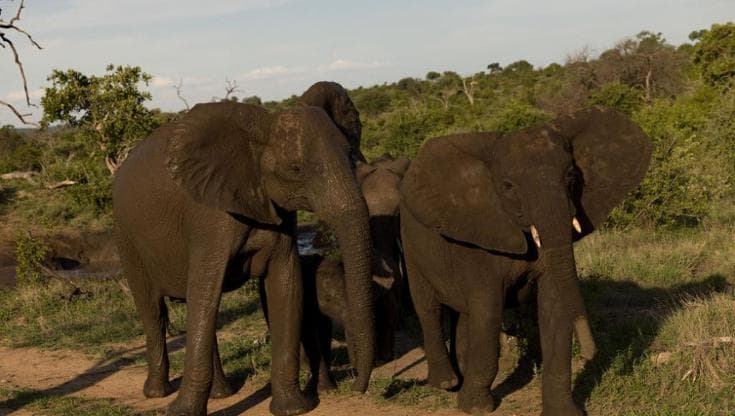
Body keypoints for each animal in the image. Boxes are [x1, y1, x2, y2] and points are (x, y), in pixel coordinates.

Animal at [115, 101, 380, 416]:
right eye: (295, 169)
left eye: (351, 156)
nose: (356, 387)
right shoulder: (210, 220)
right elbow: (205, 289)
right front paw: (182, 412)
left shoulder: (280, 215)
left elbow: (286, 285)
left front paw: (293, 408)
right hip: (127, 238)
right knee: (153, 310)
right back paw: (157, 392)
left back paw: (221, 393)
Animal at [400, 108, 652, 416]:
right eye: (508, 187)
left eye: (571, 175)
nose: (591, 352)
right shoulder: (480, 240)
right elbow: (488, 311)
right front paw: (477, 408)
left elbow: (554, 308)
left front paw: (564, 413)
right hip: (409, 243)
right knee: (429, 307)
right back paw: (446, 383)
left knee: (464, 314)